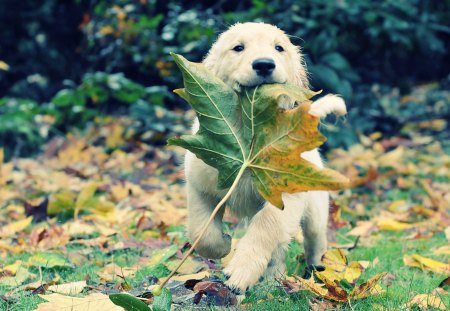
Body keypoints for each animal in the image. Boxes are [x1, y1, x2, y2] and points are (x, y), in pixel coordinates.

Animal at [185, 22, 346, 292]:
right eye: (238, 48)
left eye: (279, 48)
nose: (263, 64)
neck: (249, 134)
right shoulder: (200, 185)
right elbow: (201, 231)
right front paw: (223, 245)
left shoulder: (285, 196)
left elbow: (266, 227)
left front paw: (241, 271)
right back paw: (273, 279)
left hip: (315, 208)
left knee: (313, 240)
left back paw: (313, 270)